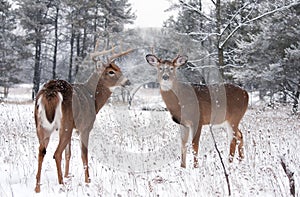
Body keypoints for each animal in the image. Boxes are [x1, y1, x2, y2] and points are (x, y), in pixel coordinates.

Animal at [34, 45, 132, 192]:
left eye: (119, 68)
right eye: (111, 72)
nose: (128, 81)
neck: (93, 98)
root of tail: (51, 92)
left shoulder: (73, 128)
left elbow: (68, 153)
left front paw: (68, 176)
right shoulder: (85, 126)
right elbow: (84, 154)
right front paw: (88, 180)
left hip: (42, 125)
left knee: (41, 151)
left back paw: (38, 187)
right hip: (65, 123)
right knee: (56, 153)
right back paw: (61, 184)